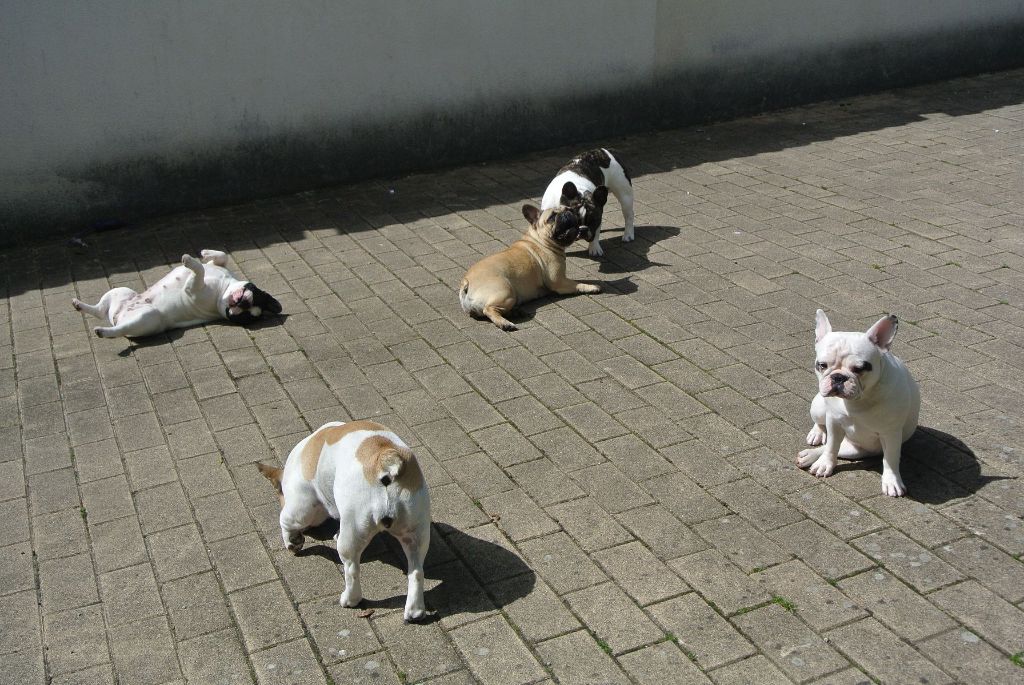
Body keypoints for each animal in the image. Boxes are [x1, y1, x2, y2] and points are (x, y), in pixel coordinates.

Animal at [260, 419, 432, 622]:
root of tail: (386, 462)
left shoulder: (300, 506)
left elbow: (285, 521)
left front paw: (292, 542)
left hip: (353, 531)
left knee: (352, 569)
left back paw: (350, 599)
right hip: (416, 531)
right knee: (417, 571)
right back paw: (415, 611)